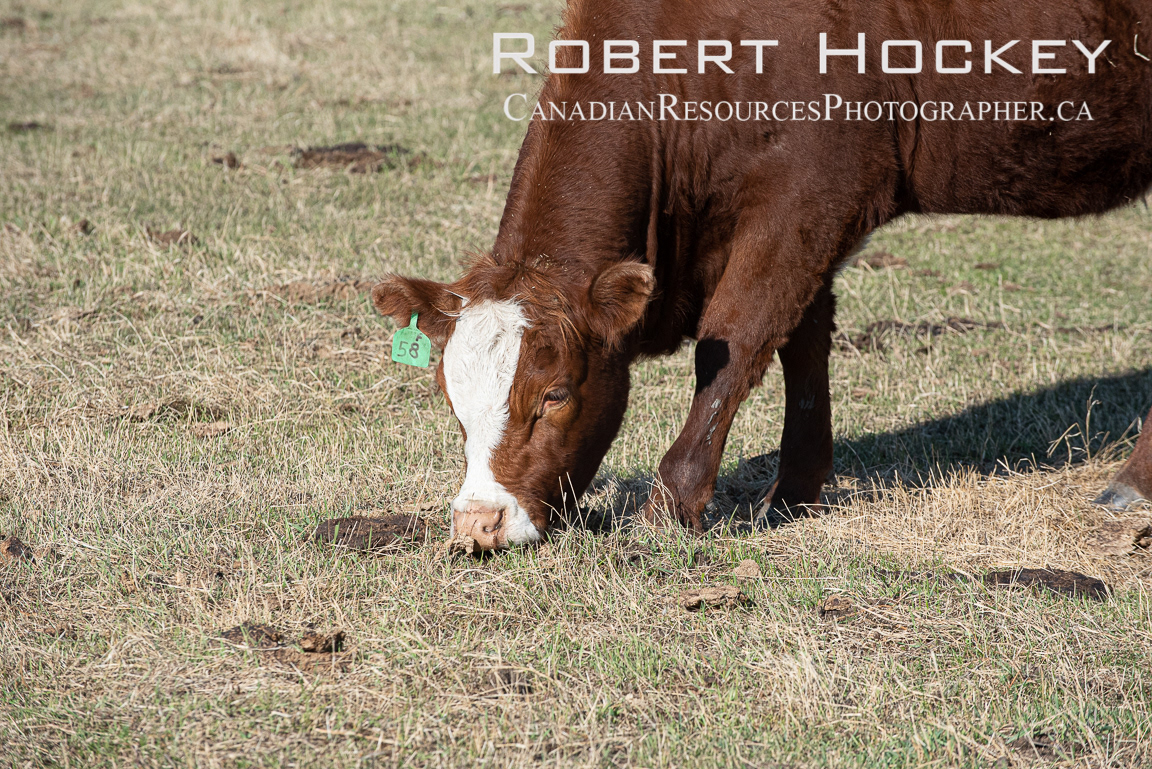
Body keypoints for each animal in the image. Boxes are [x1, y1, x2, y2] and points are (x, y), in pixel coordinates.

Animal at [373, 0, 1152, 550]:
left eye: (555, 393)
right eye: (451, 398)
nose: (478, 523)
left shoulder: (811, 194)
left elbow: (738, 339)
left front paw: (672, 506)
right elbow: (803, 342)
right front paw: (797, 489)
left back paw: (1131, 486)